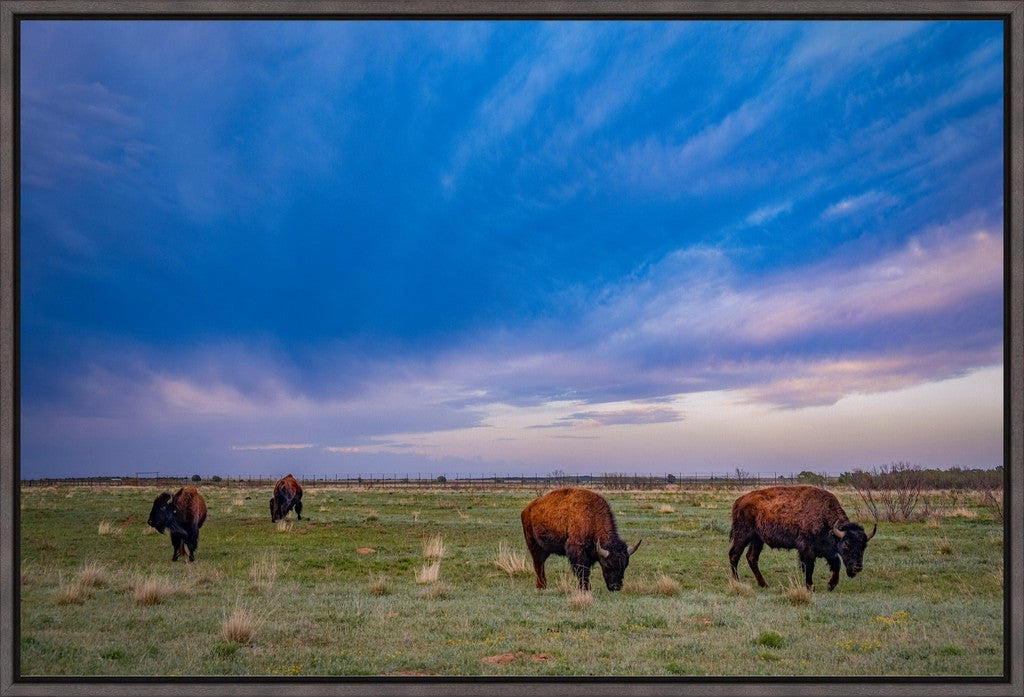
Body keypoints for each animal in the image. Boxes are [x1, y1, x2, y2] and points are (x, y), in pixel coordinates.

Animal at [724, 487, 876, 589]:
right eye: (846, 544)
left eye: (864, 546)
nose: (857, 567)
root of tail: (739, 501)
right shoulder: (807, 549)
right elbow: (809, 567)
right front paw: (811, 587)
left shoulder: (827, 550)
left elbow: (836, 564)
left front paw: (831, 585)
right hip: (743, 536)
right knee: (734, 555)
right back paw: (737, 581)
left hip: (757, 539)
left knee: (752, 558)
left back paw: (764, 584)